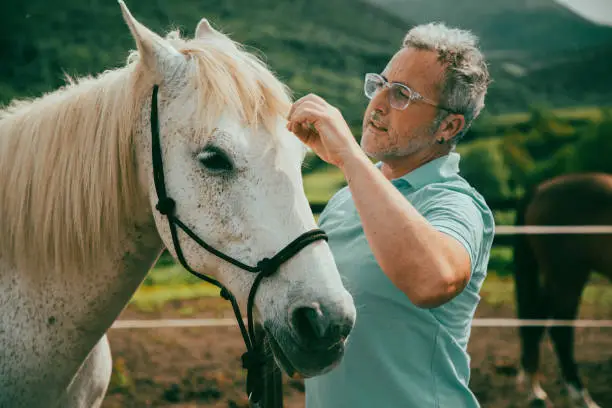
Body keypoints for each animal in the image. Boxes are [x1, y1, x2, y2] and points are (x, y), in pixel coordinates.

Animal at [512, 173, 612, 408]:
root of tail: (541, 189)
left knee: (536, 320)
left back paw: (535, 391)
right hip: (568, 277)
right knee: (560, 331)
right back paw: (582, 397)